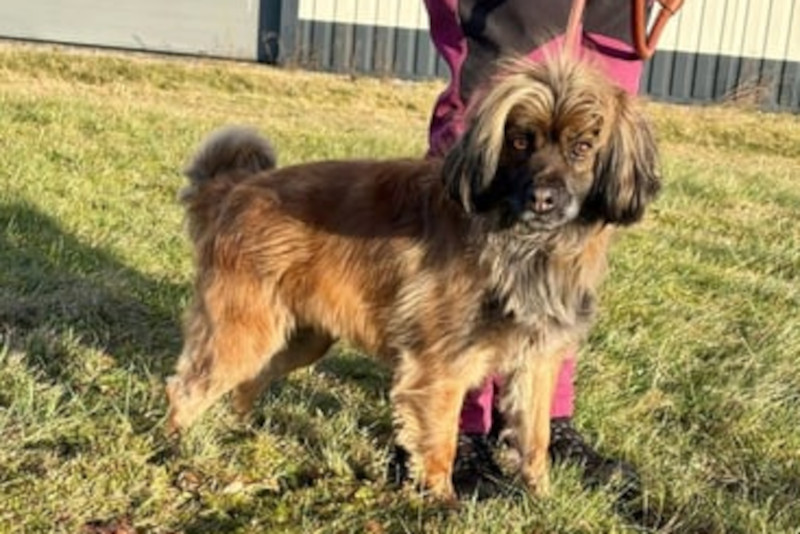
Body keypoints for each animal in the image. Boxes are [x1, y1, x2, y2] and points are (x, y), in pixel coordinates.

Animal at [166, 57, 660, 502]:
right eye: (520, 141)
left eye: (583, 147)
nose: (543, 199)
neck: (524, 244)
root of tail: (234, 191)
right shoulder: (439, 367)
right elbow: (440, 444)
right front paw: (442, 505)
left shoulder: (536, 362)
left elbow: (534, 442)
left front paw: (541, 500)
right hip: (244, 333)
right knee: (186, 390)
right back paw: (175, 452)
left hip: (299, 339)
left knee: (246, 385)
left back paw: (243, 436)